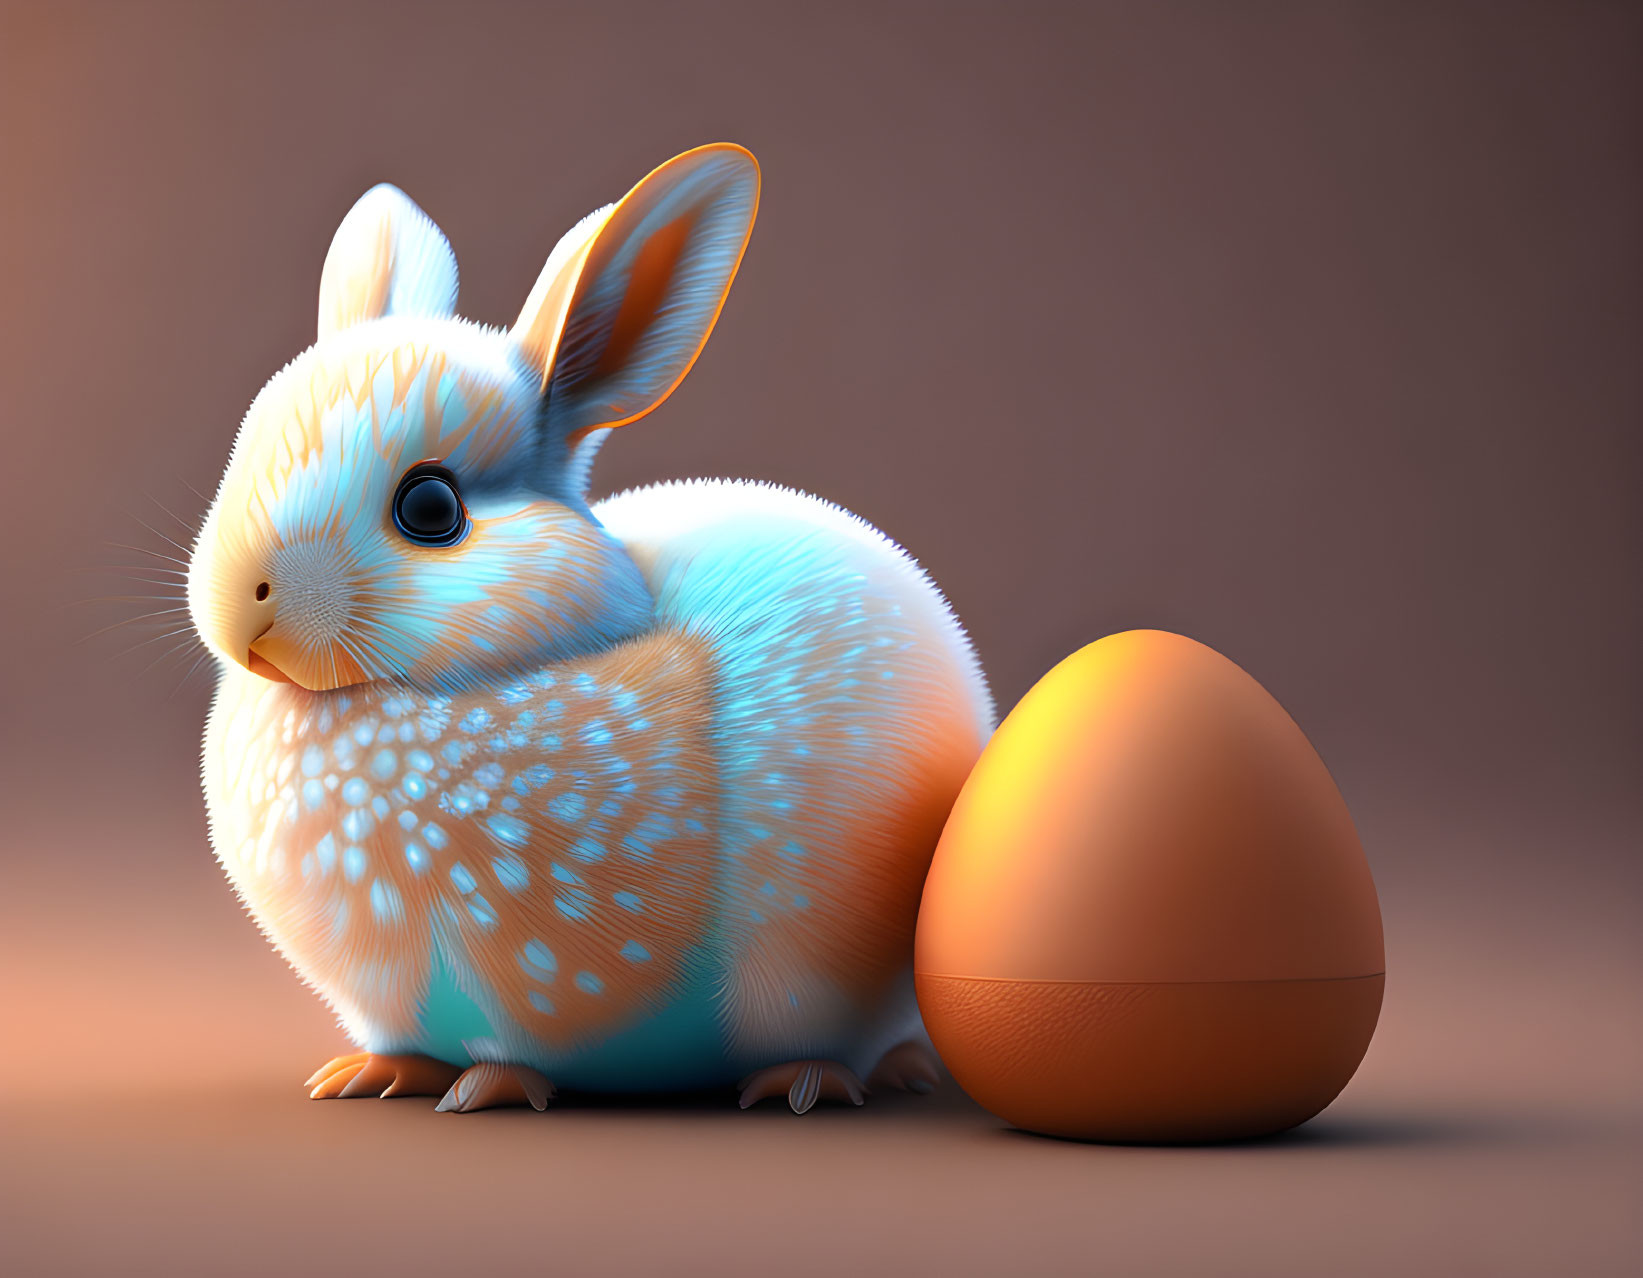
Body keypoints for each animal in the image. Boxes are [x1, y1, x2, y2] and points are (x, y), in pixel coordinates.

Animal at [186, 144, 992, 1110]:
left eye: (430, 509)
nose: (242, 604)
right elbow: (401, 1035)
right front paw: (376, 1071)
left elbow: (514, 1044)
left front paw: (490, 1086)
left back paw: (815, 1080)